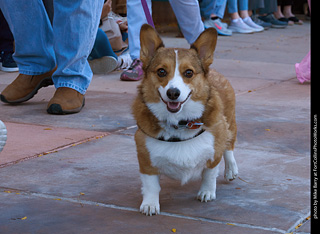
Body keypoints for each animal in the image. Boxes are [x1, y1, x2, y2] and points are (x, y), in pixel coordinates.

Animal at [131, 24, 239, 216]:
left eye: (189, 73)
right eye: (161, 71)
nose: (173, 93)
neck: (179, 123)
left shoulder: (214, 152)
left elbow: (209, 174)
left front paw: (206, 192)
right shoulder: (145, 159)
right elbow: (151, 185)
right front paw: (150, 204)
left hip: (230, 124)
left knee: (229, 147)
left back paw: (231, 169)